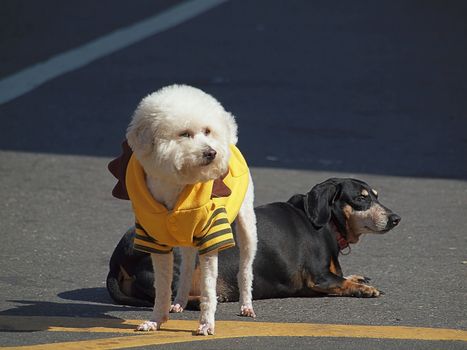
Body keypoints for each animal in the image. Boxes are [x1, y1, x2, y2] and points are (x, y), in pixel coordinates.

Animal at [124, 83, 258, 334]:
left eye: (207, 131)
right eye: (184, 133)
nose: (211, 153)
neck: (177, 184)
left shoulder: (211, 236)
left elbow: (208, 288)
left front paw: (206, 324)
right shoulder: (154, 240)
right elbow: (162, 286)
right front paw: (156, 320)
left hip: (246, 223)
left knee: (245, 267)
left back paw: (246, 305)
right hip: (187, 240)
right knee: (186, 267)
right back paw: (179, 301)